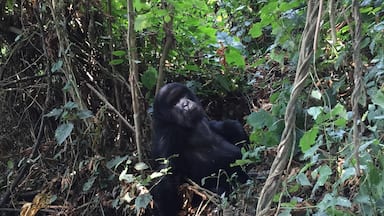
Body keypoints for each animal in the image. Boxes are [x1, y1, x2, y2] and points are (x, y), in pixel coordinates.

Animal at [152, 83, 248, 216]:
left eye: (182, 95)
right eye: (174, 103)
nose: (185, 104)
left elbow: (224, 126)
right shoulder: (167, 136)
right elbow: (166, 173)